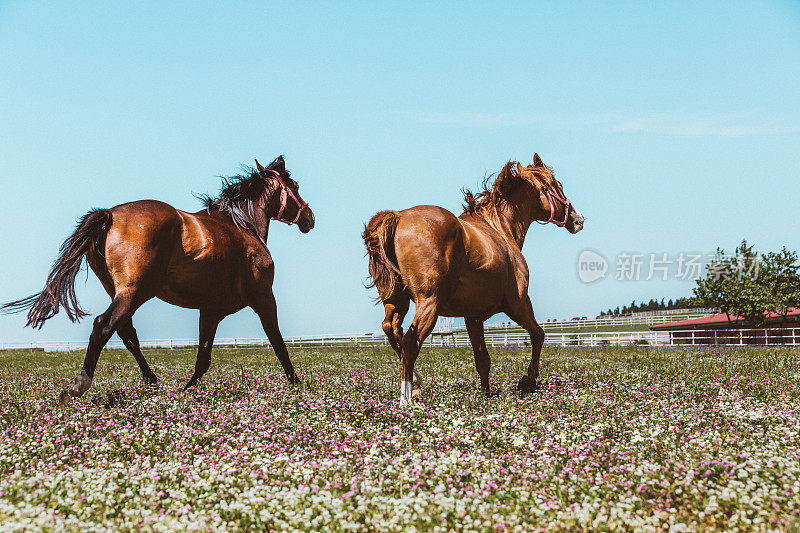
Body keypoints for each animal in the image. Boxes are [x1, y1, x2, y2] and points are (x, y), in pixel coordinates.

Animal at [1, 156, 314, 402]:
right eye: (296, 187)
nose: (310, 218)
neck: (242, 226)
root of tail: (109, 215)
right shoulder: (263, 299)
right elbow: (278, 343)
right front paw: (297, 384)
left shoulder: (210, 311)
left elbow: (203, 359)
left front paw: (185, 392)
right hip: (136, 291)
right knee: (104, 326)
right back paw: (80, 385)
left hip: (121, 291)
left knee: (127, 334)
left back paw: (152, 382)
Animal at [362, 154, 580, 404]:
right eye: (558, 185)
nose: (578, 219)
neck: (500, 230)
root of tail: (398, 217)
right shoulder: (518, 305)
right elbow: (538, 335)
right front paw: (528, 380)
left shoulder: (473, 317)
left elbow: (482, 359)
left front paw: (486, 395)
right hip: (428, 304)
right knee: (409, 343)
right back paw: (407, 398)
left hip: (396, 302)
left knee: (391, 329)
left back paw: (416, 384)